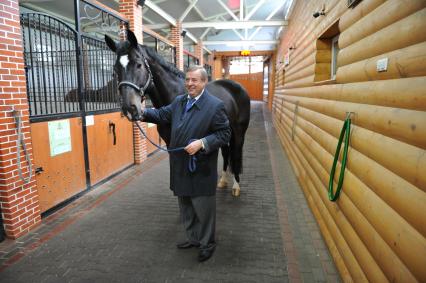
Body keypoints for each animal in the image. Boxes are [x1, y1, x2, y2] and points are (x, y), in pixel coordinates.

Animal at [105, 30, 250, 196]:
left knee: (236, 153)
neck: (175, 95)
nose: (130, 108)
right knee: (226, 152)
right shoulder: (170, 143)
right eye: (116, 69)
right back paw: (222, 181)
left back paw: (236, 186)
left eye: (138, 64)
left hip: (238, 132)